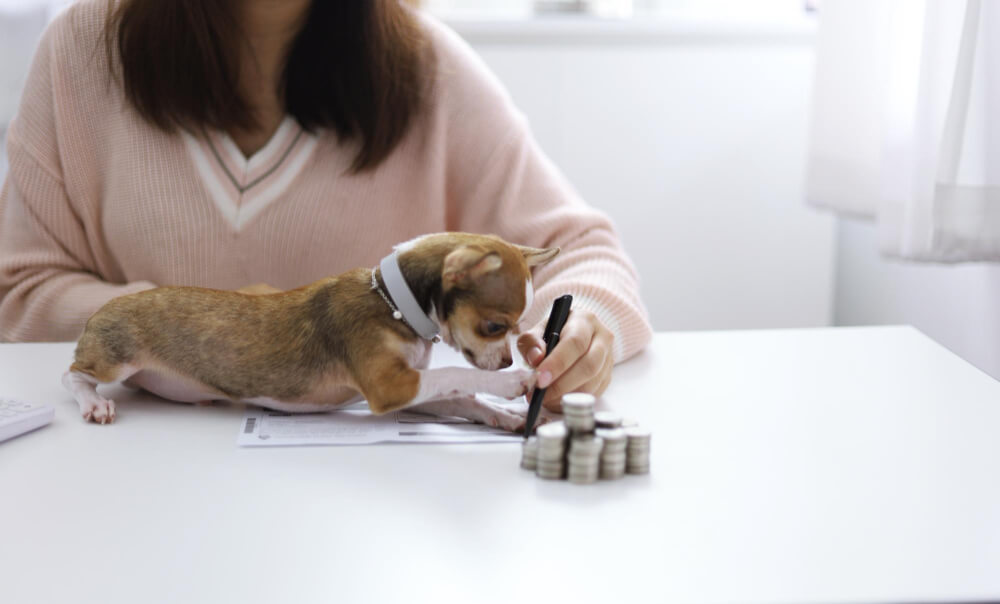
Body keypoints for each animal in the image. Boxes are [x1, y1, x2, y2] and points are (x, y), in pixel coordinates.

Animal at [62, 234, 564, 432]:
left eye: (519, 328)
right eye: (494, 326)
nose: (506, 359)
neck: (393, 306)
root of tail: (100, 310)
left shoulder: (410, 389)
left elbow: (463, 396)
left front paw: (509, 415)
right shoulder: (390, 386)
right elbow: (456, 376)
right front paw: (515, 382)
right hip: (116, 357)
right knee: (71, 376)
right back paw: (94, 403)